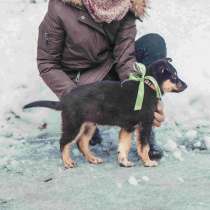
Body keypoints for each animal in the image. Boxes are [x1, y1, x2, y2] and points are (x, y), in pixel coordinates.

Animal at [23, 57, 187, 169]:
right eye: (174, 76)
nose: (186, 85)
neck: (148, 85)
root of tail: (64, 100)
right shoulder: (144, 124)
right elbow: (144, 146)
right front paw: (148, 162)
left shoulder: (128, 127)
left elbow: (124, 146)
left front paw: (124, 162)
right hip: (73, 124)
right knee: (64, 142)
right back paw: (68, 162)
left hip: (89, 124)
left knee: (82, 143)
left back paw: (93, 159)